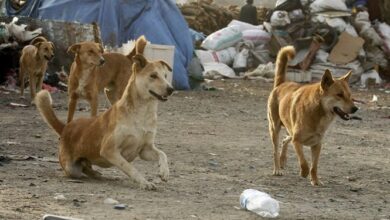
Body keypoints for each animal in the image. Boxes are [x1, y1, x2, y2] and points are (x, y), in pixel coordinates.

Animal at [35, 54, 175, 190]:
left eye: (165, 76)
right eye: (153, 75)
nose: (171, 89)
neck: (143, 113)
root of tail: (66, 128)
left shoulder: (145, 150)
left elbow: (163, 154)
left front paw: (164, 172)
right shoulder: (109, 149)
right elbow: (130, 167)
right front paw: (144, 182)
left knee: (87, 168)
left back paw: (99, 175)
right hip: (71, 169)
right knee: (81, 170)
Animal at [266, 46, 358, 186]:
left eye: (350, 95)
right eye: (339, 95)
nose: (355, 108)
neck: (318, 112)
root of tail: (281, 84)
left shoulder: (317, 145)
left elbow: (314, 166)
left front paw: (315, 181)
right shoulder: (297, 141)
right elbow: (304, 162)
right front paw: (304, 173)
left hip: (290, 130)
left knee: (285, 140)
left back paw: (283, 160)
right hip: (274, 128)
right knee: (275, 150)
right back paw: (277, 169)